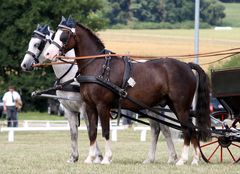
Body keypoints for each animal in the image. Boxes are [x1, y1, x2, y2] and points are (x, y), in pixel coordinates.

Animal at [45, 21, 210, 164]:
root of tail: (187, 66)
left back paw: (182, 160)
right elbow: (92, 131)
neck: (98, 66)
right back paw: (195, 159)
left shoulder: (102, 106)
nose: (48, 54)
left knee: (187, 128)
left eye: (64, 35)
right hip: (174, 106)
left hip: (180, 106)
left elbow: (105, 131)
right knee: (190, 129)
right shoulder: (90, 106)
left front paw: (106, 158)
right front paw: (90, 159)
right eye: (54, 35)